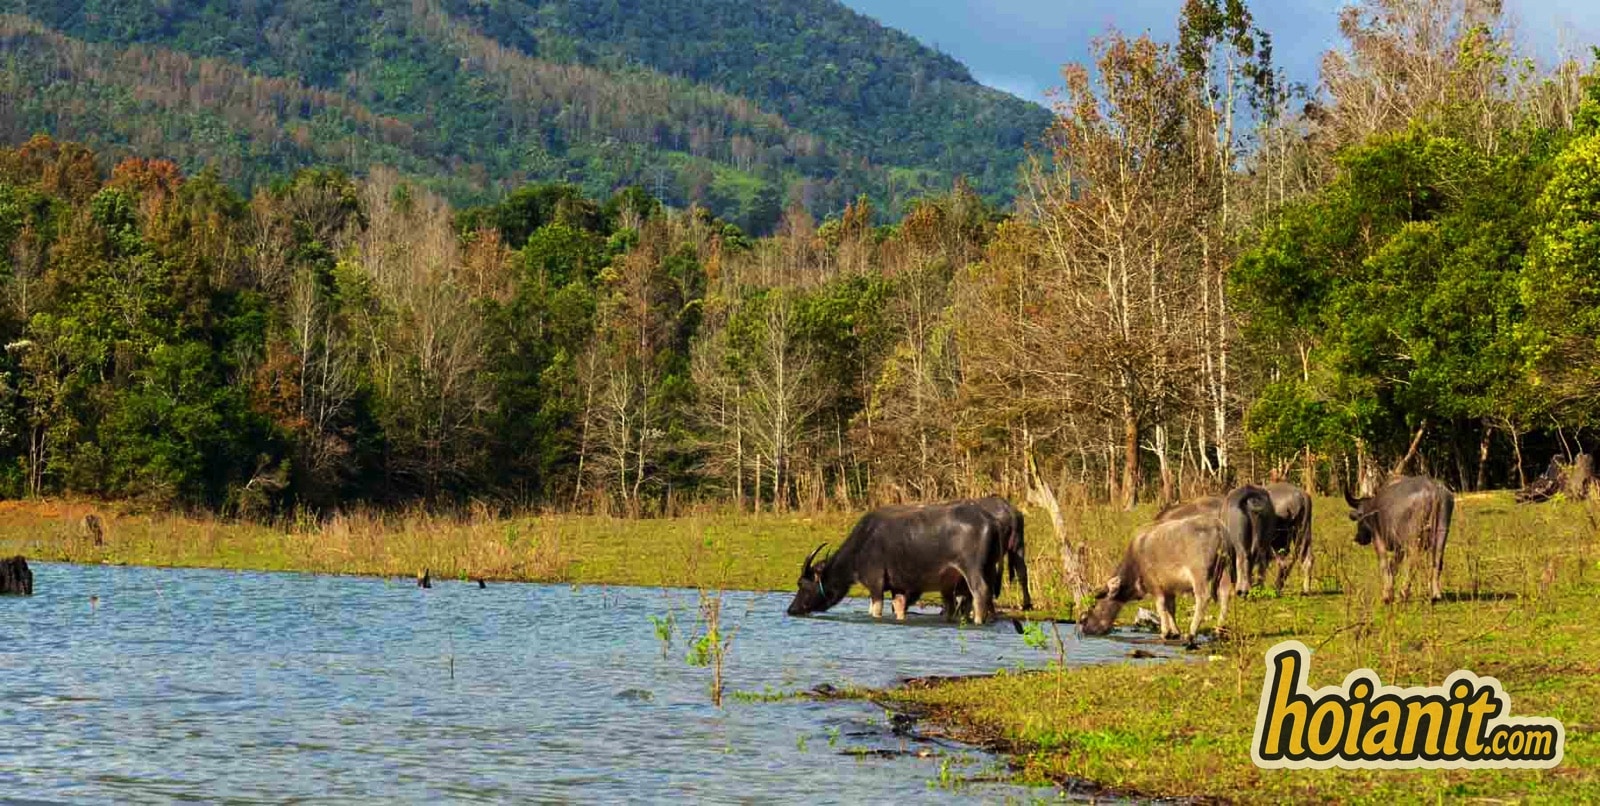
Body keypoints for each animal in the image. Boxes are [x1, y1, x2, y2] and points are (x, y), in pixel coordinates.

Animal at [787, 501, 1004, 624]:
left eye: (803, 585)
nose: (791, 610)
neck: (862, 545)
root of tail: (991, 521)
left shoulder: (875, 583)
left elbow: (875, 610)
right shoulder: (898, 587)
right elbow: (899, 607)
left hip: (973, 570)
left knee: (980, 593)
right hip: (986, 570)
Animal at [1079, 507, 1234, 642]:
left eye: (1094, 605)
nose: (1085, 628)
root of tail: (1217, 525)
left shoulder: (1154, 585)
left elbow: (1160, 606)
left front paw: (1165, 632)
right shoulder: (1169, 587)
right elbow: (1171, 608)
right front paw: (1175, 631)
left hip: (1199, 574)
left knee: (1203, 597)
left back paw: (1191, 633)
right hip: (1226, 570)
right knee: (1225, 594)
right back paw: (1218, 630)